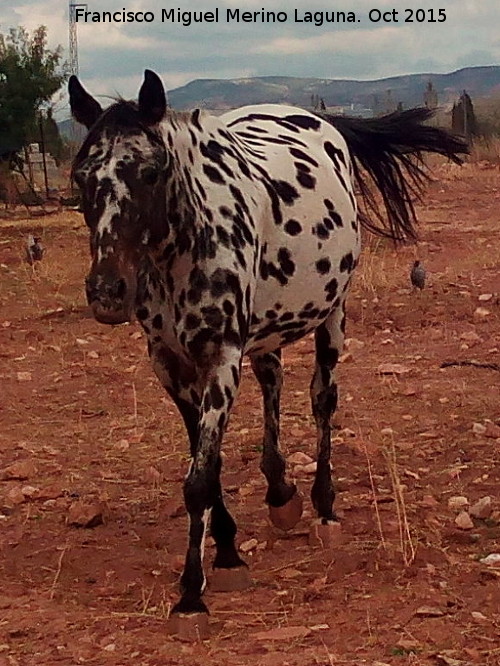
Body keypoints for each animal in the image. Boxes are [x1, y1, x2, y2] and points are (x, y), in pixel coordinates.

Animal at [68, 70, 466, 636]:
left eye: (149, 171)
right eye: (81, 176)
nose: (107, 292)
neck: (185, 244)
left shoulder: (220, 356)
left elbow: (200, 479)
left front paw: (191, 595)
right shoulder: (170, 364)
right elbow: (205, 468)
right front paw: (228, 552)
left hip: (332, 315)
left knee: (322, 400)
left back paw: (323, 505)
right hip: (266, 332)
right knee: (273, 381)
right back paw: (280, 492)